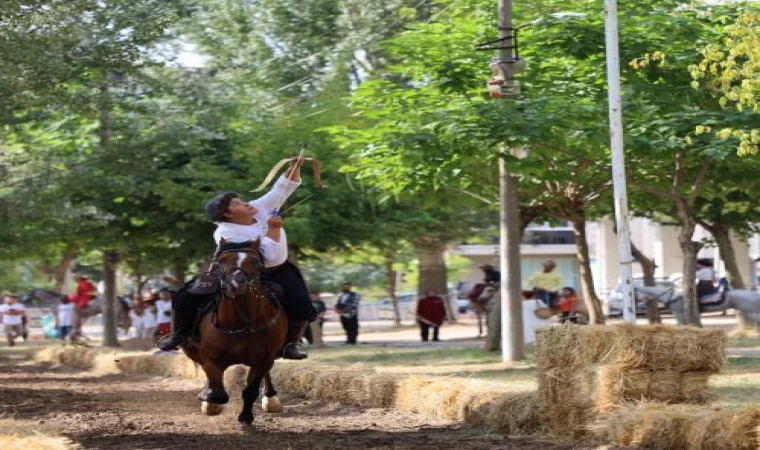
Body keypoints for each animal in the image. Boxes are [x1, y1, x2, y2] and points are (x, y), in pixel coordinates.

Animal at [181, 239, 288, 426]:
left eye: (256, 262)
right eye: (221, 261)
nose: (236, 283)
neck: (240, 323)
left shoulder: (264, 359)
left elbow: (250, 390)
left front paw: (246, 416)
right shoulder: (210, 359)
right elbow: (218, 392)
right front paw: (209, 401)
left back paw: (271, 399)